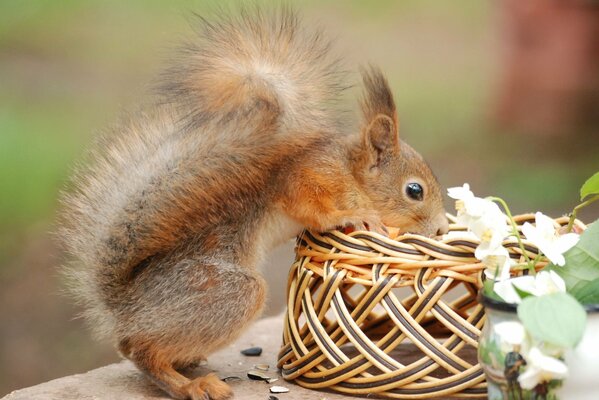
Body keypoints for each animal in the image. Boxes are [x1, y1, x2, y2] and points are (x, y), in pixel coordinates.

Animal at [58, 7, 450, 400]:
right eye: (415, 190)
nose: (441, 228)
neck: (350, 173)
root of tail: (124, 307)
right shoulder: (308, 177)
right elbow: (311, 207)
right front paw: (357, 215)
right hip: (225, 292)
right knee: (139, 349)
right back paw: (192, 385)